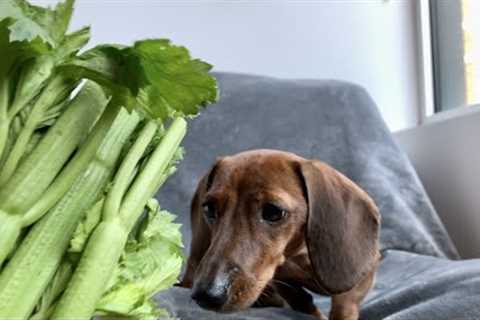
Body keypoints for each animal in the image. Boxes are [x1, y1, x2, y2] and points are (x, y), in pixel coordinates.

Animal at [178, 150, 380, 320]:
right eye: (209, 208)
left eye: (273, 212)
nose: (206, 295)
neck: (299, 256)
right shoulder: (281, 280)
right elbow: (300, 299)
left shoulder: (362, 276)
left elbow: (344, 306)